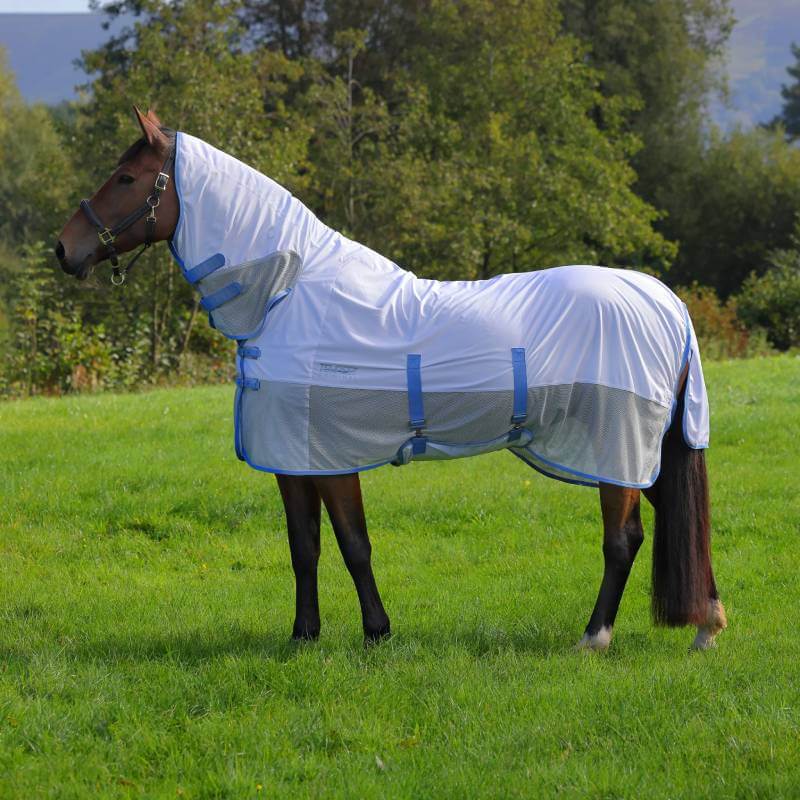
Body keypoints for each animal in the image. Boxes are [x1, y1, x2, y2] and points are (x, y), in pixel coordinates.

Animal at [56, 107, 727, 652]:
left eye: (126, 178)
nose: (65, 248)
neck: (287, 292)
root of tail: (665, 302)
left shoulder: (329, 456)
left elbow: (354, 544)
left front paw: (377, 632)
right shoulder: (293, 459)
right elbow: (304, 547)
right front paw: (304, 636)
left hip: (617, 449)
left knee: (624, 540)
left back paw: (596, 636)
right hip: (645, 453)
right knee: (681, 521)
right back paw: (706, 625)